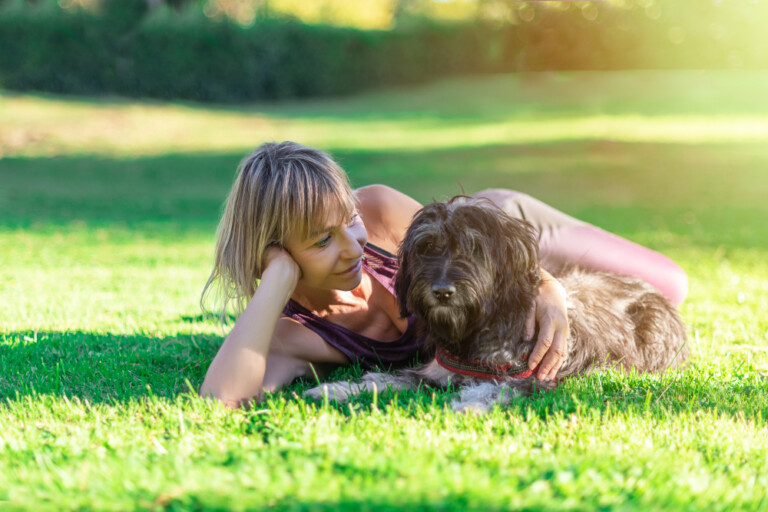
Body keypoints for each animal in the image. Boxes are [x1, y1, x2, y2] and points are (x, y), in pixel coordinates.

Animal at [306, 196, 688, 412]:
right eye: (428, 247)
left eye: (474, 249)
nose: (442, 291)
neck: (476, 331)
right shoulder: (434, 372)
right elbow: (385, 379)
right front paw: (336, 389)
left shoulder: (533, 378)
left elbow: (494, 389)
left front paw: (467, 407)